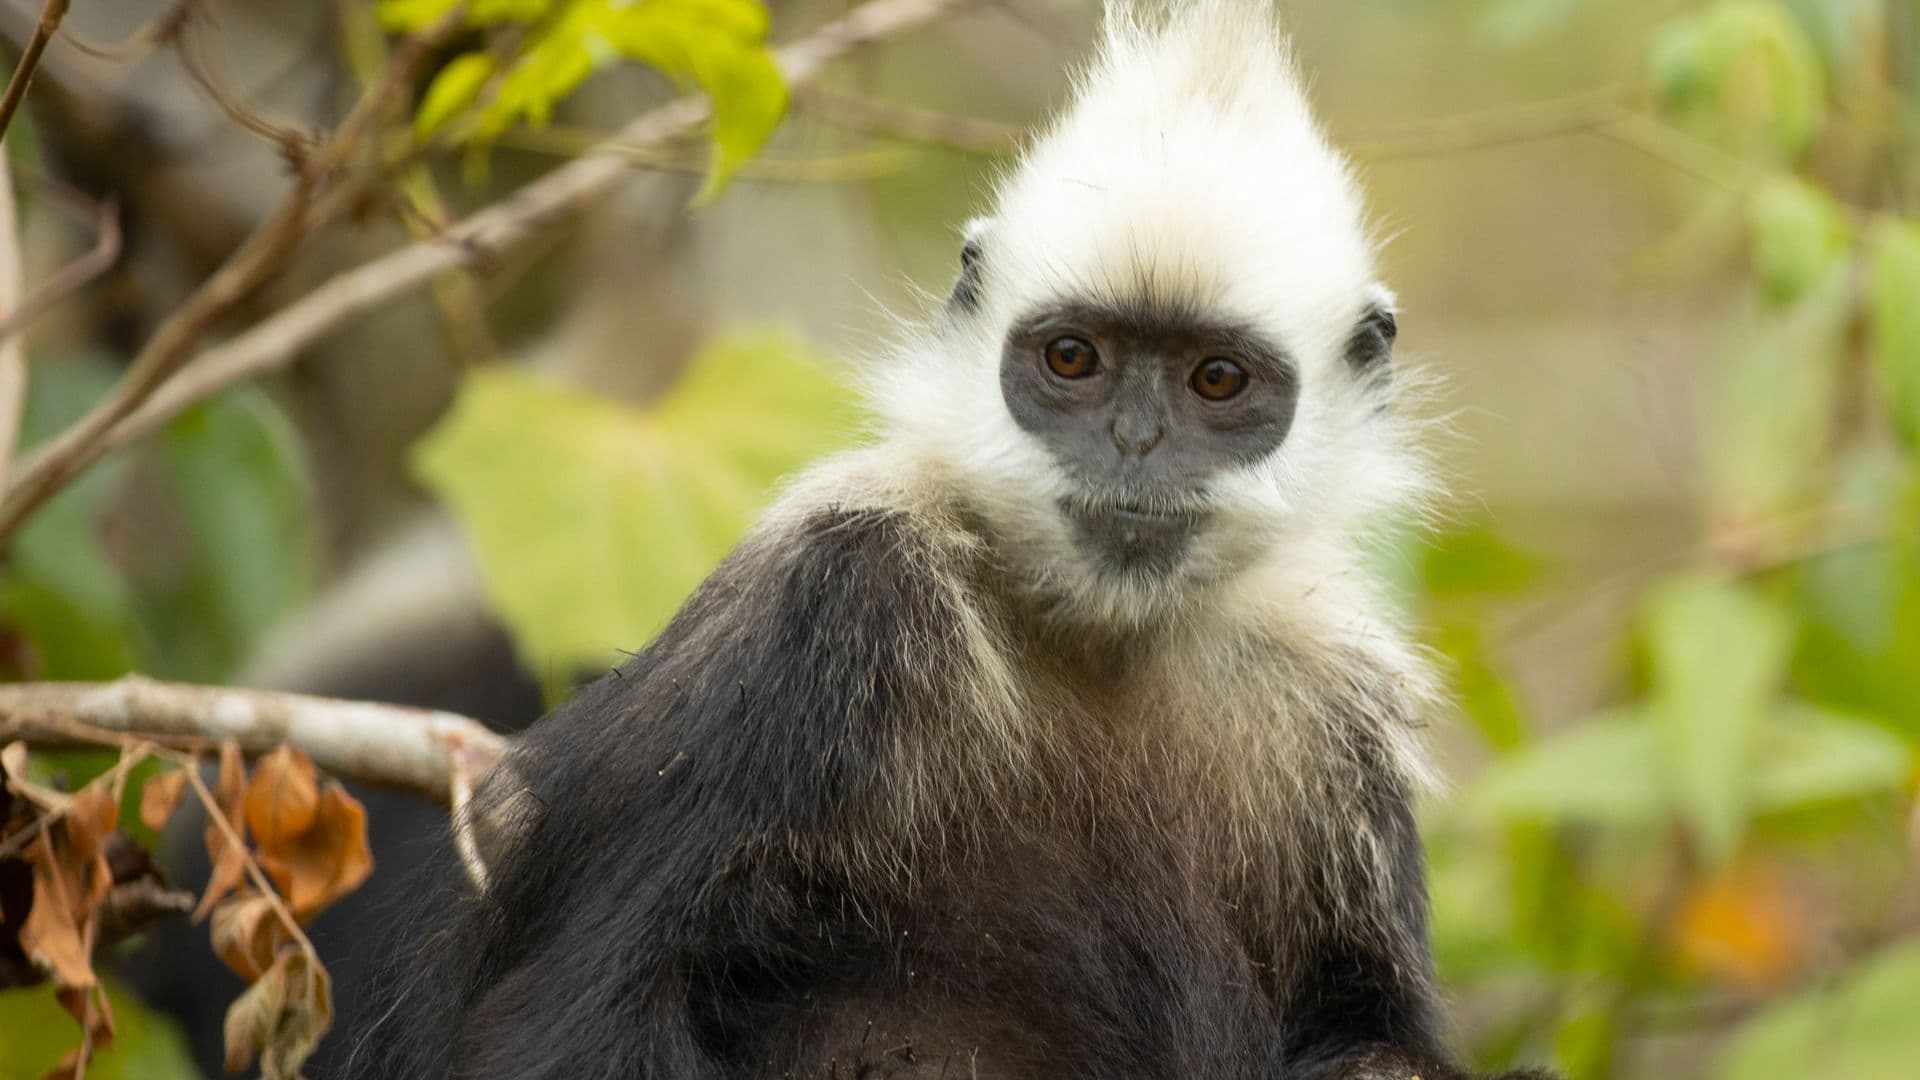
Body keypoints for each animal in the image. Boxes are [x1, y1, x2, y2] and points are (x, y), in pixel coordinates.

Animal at [352, 3, 1555, 1077]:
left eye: (1216, 380)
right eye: (1074, 360)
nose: (1134, 442)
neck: (1103, 643)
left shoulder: (1336, 711)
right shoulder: (835, 598)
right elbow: (569, 1018)